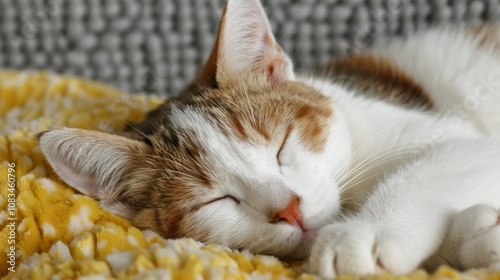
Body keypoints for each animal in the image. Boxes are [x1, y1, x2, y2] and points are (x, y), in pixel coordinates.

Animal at [39, 0, 500, 278]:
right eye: (215, 200)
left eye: (281, 145)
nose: (289, 209)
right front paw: (477, 235)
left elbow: (436, 164)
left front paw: (362, 234)